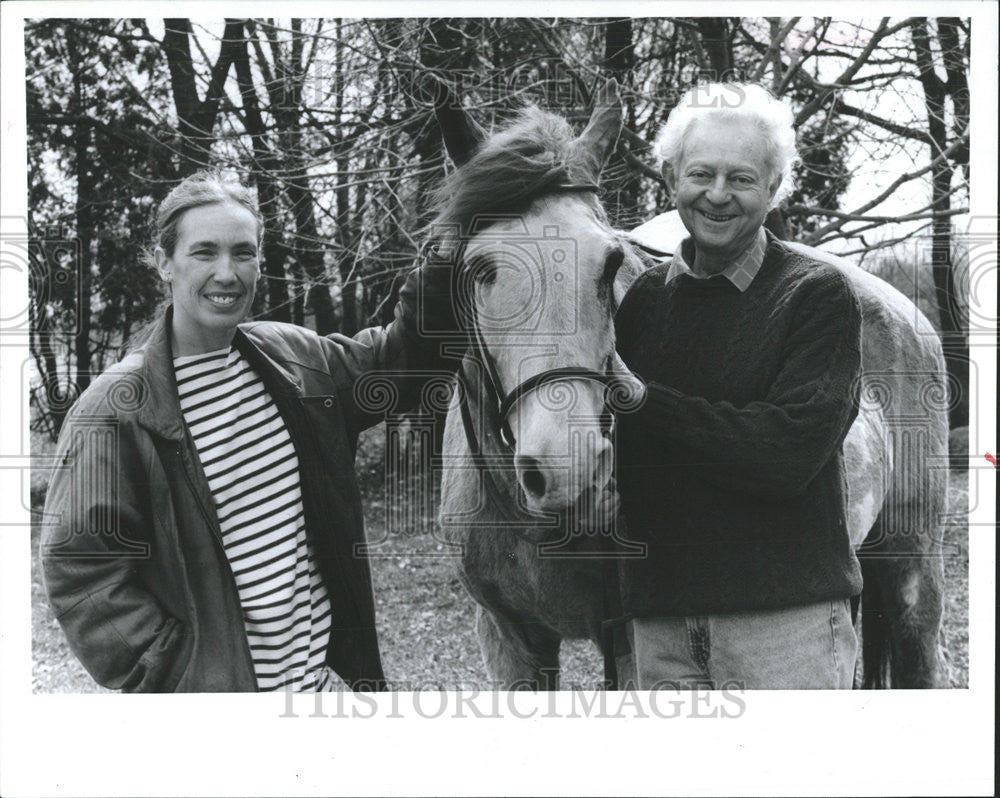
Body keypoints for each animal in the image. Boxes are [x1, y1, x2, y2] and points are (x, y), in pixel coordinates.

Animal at [426, 78, 948, 692]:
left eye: (611, 263)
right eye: (480, 268)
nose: (569, 466)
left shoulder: (630, 642)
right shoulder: (510, 638)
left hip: (911, 561)